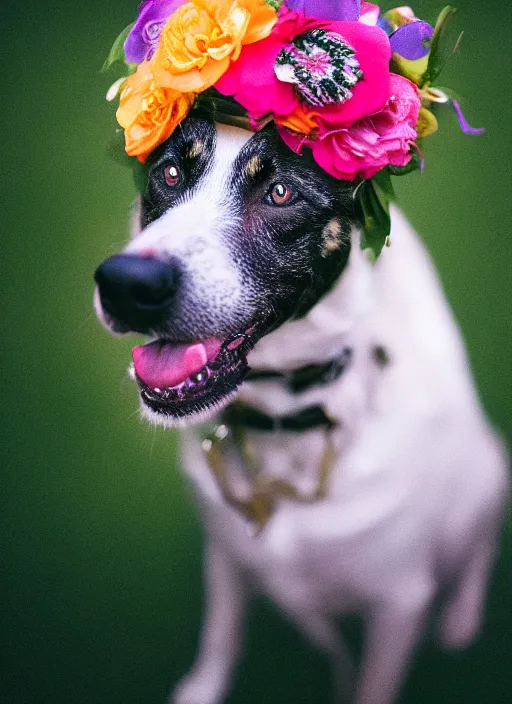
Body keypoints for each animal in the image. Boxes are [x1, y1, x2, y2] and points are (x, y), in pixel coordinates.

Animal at [95, 111, 508, 704]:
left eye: (280, 192)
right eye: (169, 173)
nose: (126, 284)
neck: (286, 425)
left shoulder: (399, 602)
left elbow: (373, 684)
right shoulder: (226, 550)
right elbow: (221, 634)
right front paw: (202, 688)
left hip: (493, 469)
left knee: (480, 545)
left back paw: (462, 620)